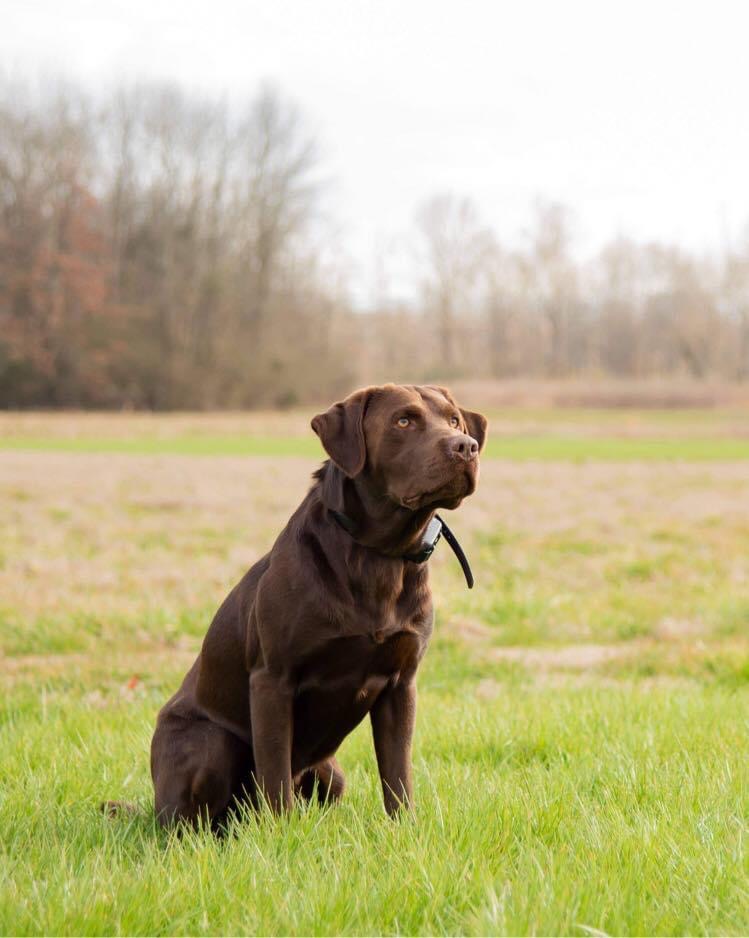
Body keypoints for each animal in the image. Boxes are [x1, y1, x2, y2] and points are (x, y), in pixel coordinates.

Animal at [148, 384, 486, 824]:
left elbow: (398, 772)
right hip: (210, 742)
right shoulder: (272, 679)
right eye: (403, 421)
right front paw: (279, 831)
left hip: (331, 771)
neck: (379, 556)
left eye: (454, 421)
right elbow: (274, 772)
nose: (466, 447)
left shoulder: (401, 684)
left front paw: (405, 827)